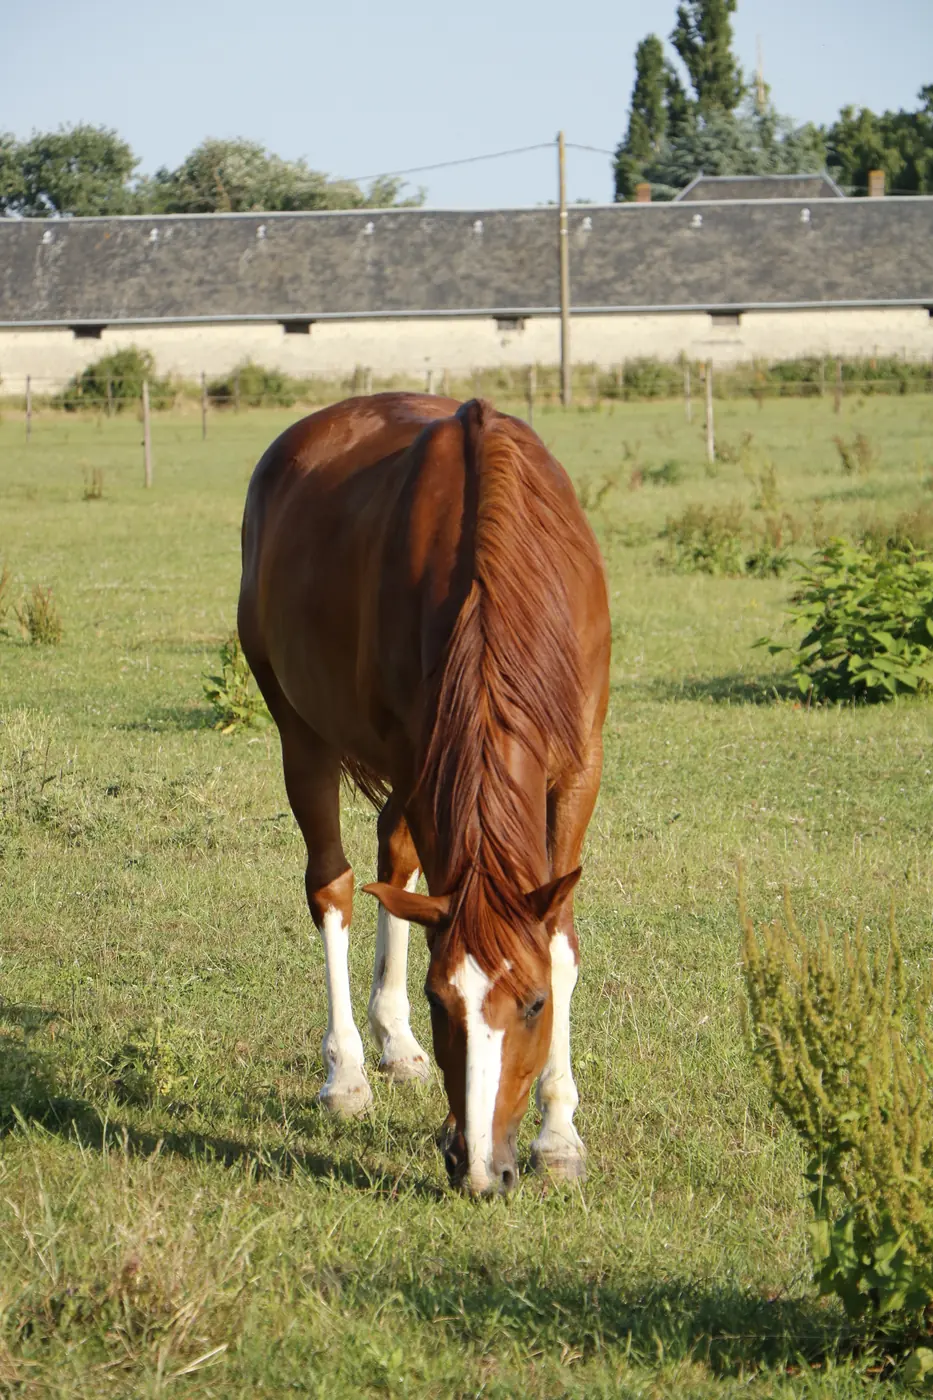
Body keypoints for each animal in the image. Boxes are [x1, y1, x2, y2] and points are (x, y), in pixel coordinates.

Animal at [238, 393, 610, 1195]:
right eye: (443, 1001)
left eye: (533, 1004)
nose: (481, 1167)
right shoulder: (421, 758)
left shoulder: (580, 768)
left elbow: (558, 939)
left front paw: (559, 1135)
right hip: (300, 731)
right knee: (335, 885)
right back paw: (348, 1070)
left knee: (394, 859)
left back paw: (394, 1041)